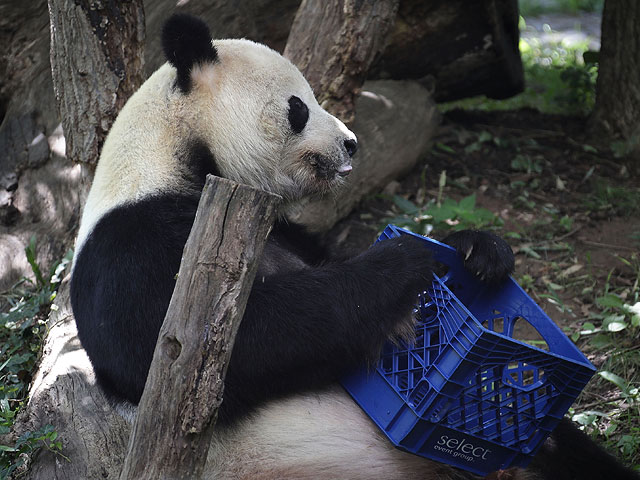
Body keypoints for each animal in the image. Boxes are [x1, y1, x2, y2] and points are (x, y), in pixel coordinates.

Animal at [72, 14, 636, 480]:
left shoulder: (283, 229)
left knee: (564, 448)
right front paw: (403, 265)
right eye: (298, 107)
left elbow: (326, 259)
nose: (352, 143)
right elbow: (206, 347)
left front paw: (477, 252)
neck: (173, 156)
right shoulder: (130, 244)